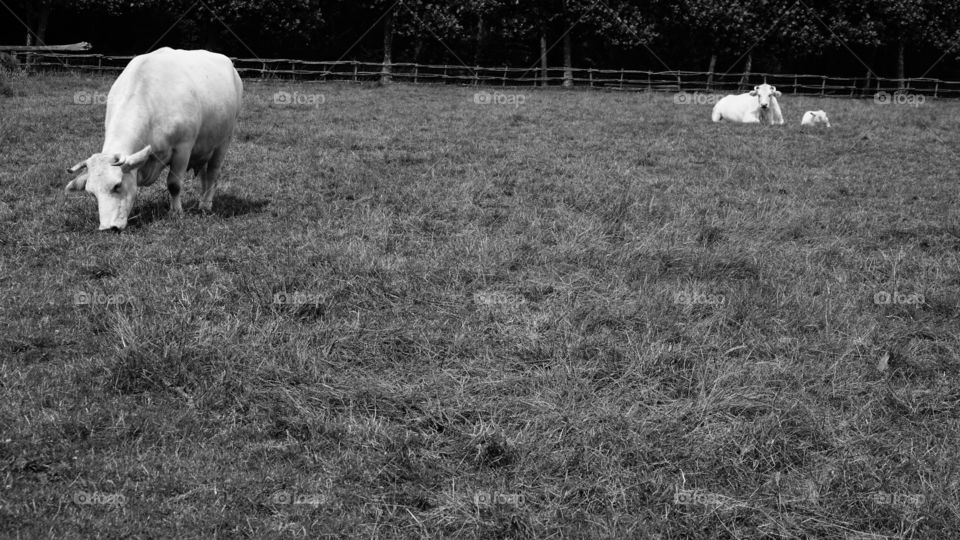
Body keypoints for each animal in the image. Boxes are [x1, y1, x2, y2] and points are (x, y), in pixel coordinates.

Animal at [65, 48, 243, 231]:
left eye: (117, 185)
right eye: (92, 193)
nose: (108, 228)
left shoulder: (183, 148)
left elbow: (174, 184)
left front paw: (176, 212)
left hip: (224, 141)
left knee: (213, 173)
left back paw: (206, 205)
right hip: (205, 147)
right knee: (204, 175)